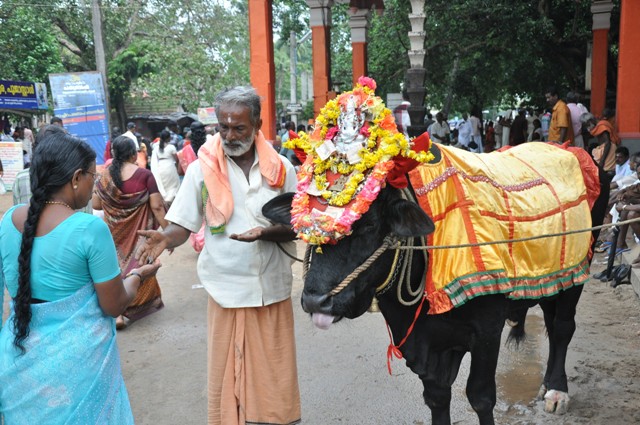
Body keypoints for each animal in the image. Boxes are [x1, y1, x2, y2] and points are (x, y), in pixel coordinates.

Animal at [262, 77, 604, 424]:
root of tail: (568, 147)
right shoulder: (424, 345)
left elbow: (481, 396)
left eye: (369, 225)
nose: (315, 300)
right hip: (554, 277)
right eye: (305, 224)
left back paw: (557, 390)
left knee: (562, 327)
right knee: (550, 317)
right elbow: (438, 397)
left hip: (579, 270)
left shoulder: (487, 330)